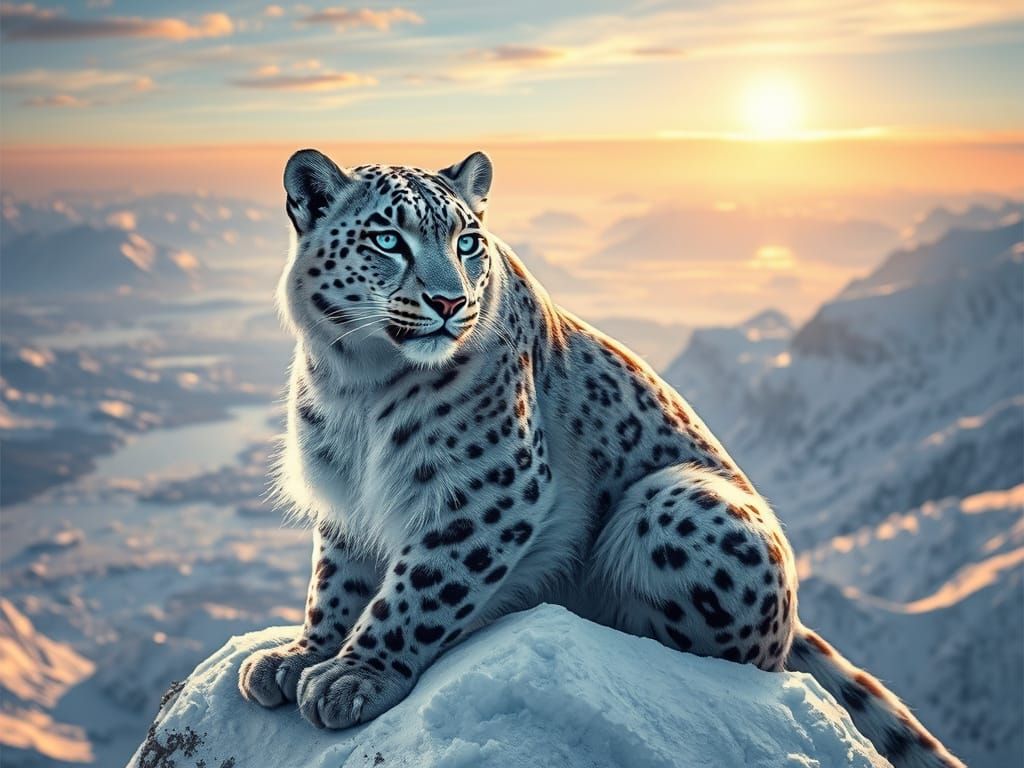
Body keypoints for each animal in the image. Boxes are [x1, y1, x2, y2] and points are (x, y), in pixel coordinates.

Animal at [238, 148, 963, 768]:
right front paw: (299, 654)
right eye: (388, 240)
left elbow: (420, 588)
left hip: (678, 500)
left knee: (745, 659)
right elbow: (336, 581)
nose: (450, 302)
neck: (357, 386)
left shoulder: (488, 488)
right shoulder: (342, 497)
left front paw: (353, 676)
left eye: (467, 243)